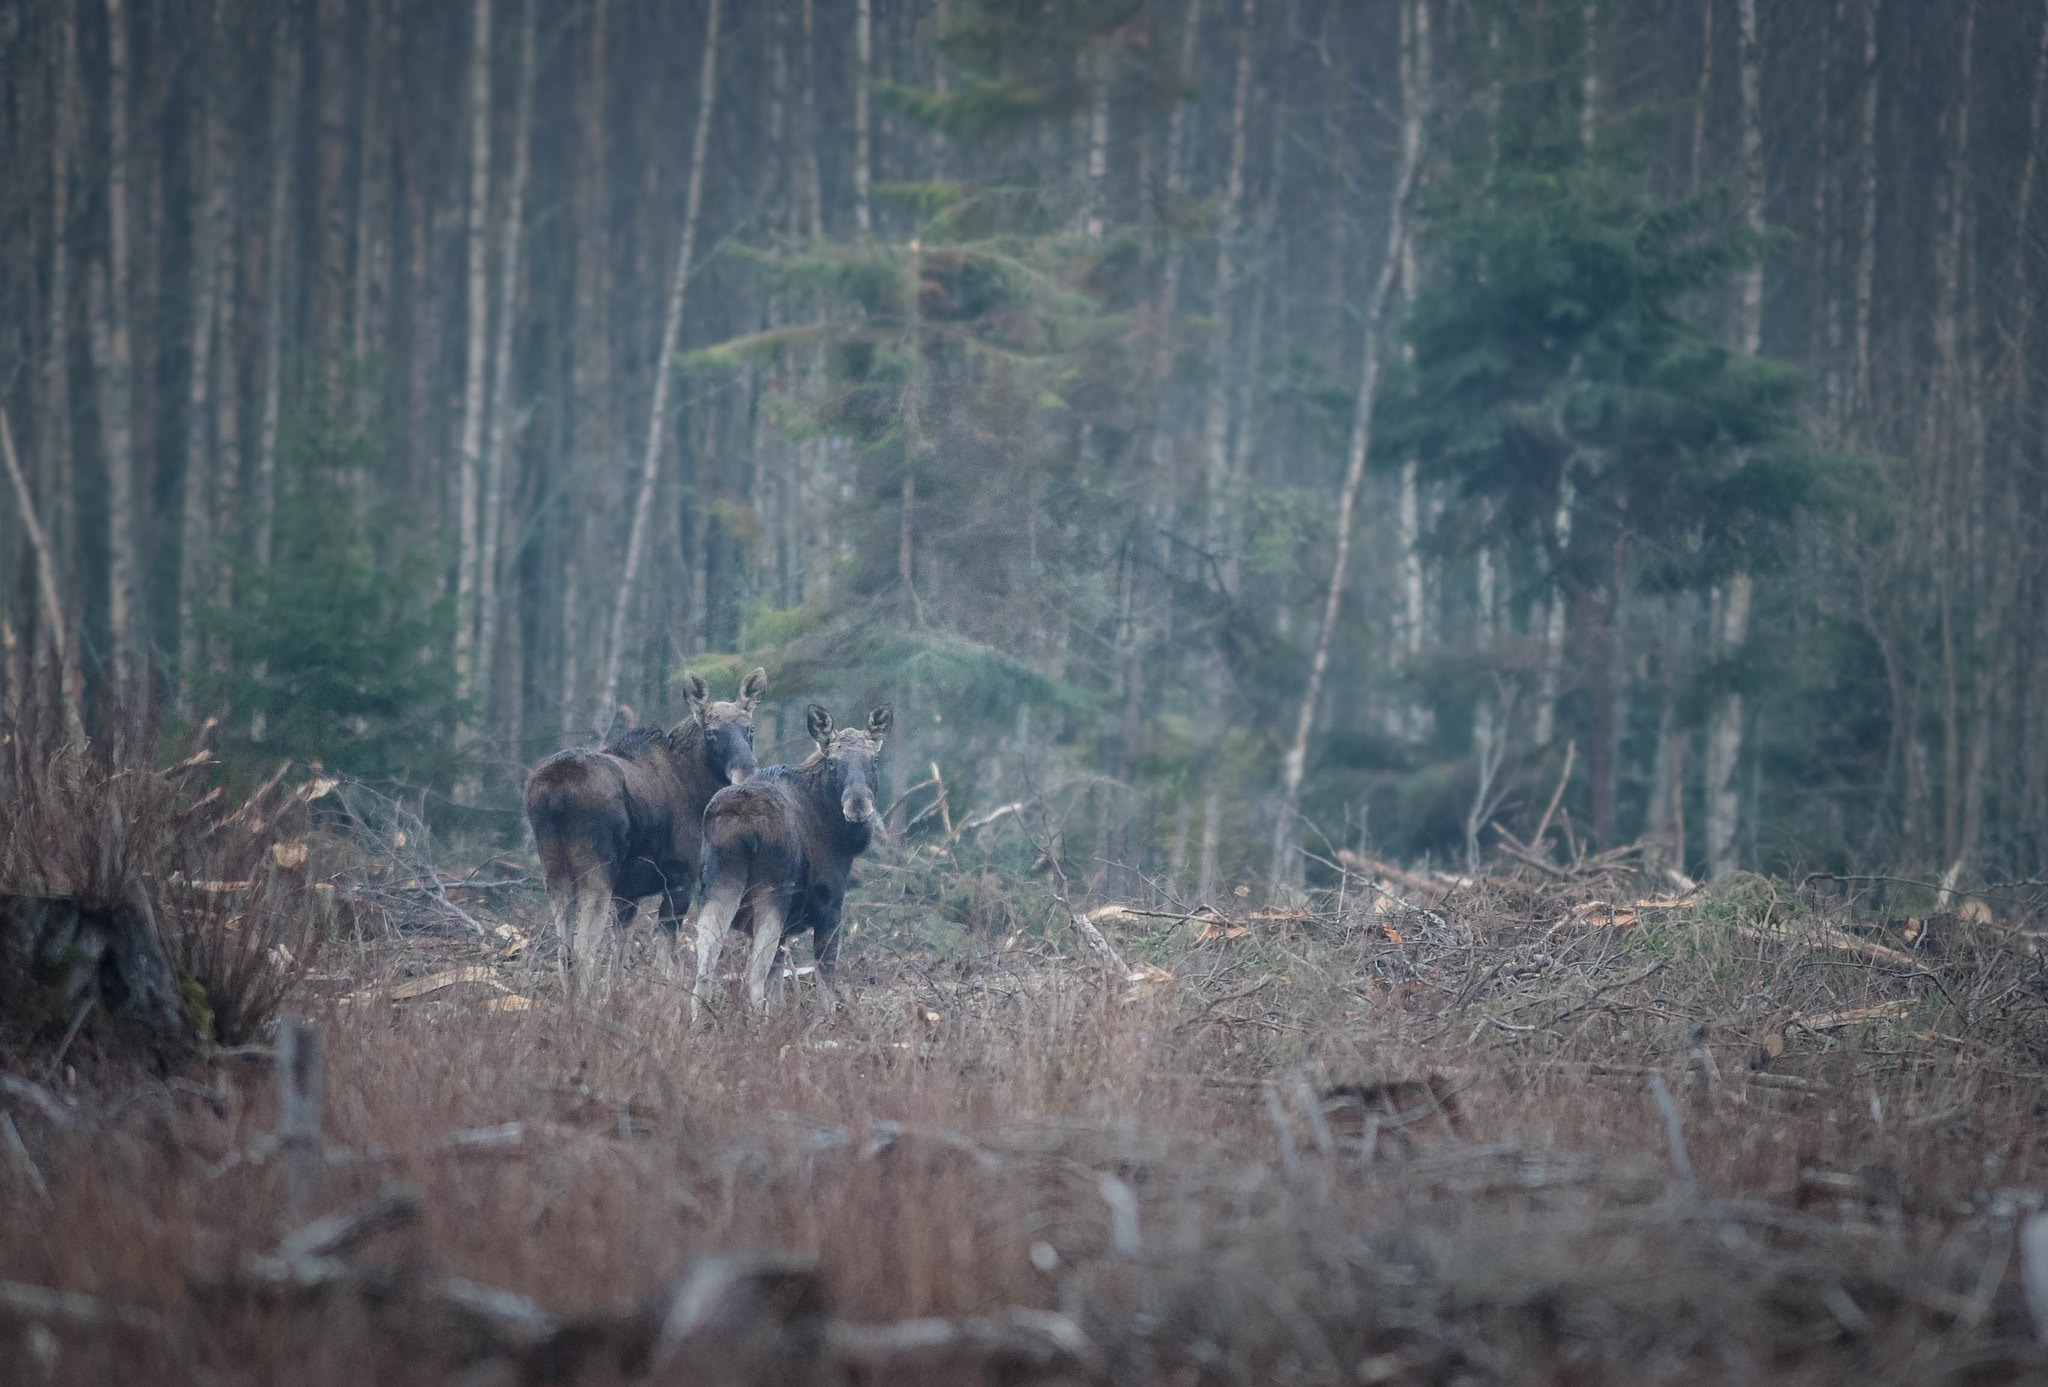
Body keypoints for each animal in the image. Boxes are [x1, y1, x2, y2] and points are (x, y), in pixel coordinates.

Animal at [528, 667, 770, 983]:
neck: (696, 787)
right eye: (711, 732)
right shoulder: (681, 877)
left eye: (750, 729)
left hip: (554, 871)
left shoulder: (628, 894)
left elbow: (618, 963)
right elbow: (663, 963)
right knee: (583, 953)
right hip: (595, 871)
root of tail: (554, 793)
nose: (747, 771)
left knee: (563, 952)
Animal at [692, 704, 892, 1016]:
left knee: (703, 972)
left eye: (875, 759)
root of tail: (744, 827)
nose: (858, 805)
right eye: (832, 762)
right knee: (752, 977)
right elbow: (825, 984)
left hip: (715, 885)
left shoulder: (787, 929)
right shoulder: (829, 906)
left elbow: (778, 988)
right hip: (772, 894)